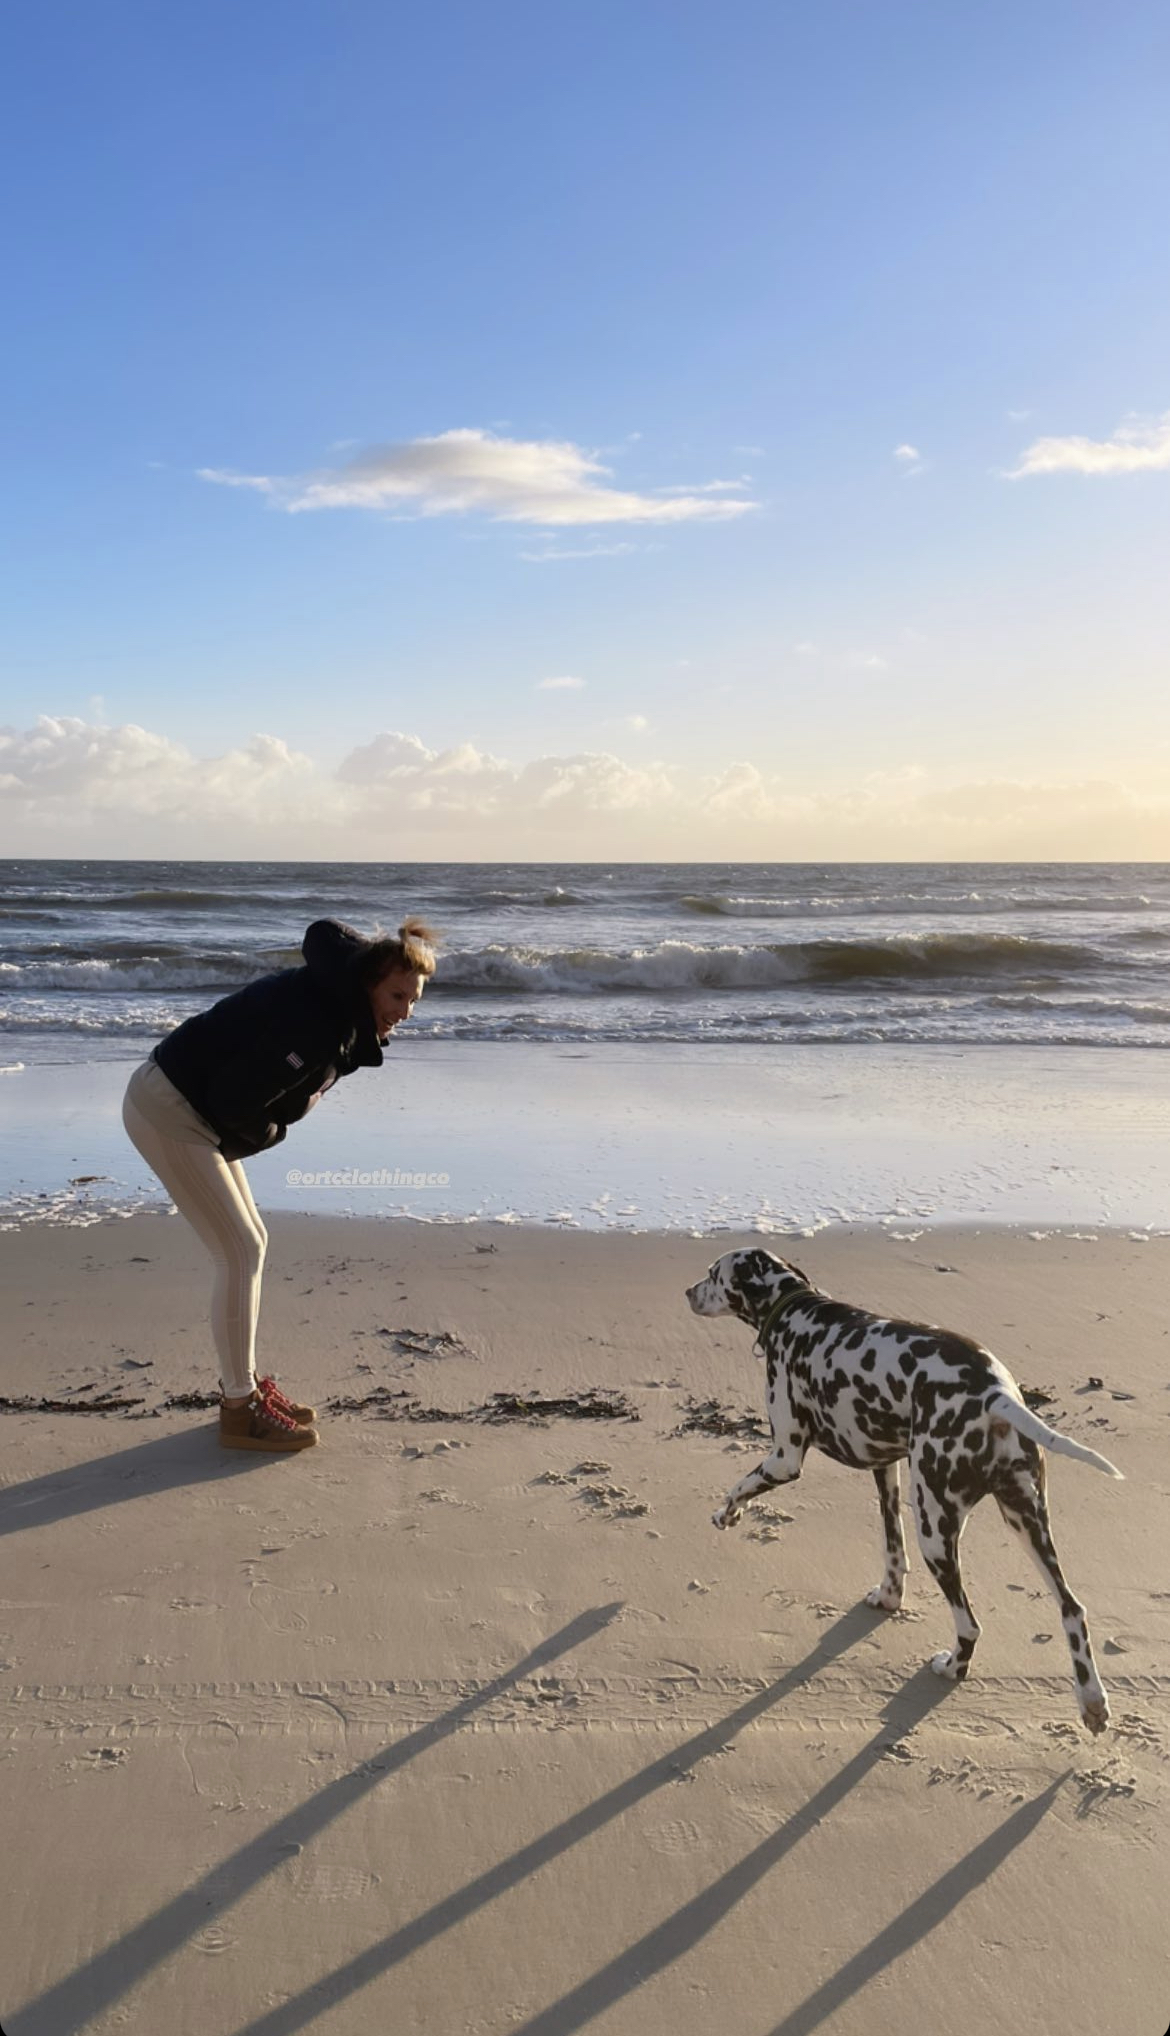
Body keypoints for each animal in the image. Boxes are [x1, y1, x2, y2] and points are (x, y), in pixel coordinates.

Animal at [687, 1237, 1123, 1734]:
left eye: (712, 1273)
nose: (688, 1292)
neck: (794, 1311)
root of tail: (995, 1394)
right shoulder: (886, 1469)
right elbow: (892, 1549)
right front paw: (889, 1596)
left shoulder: (784, 1457)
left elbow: (738, 1486)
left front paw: (727, 1514)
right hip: (1027, 1521)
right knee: (1072, 1609)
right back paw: (1092, 1702)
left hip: (935, 1529)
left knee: (970, 1624)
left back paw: (953, 1667)